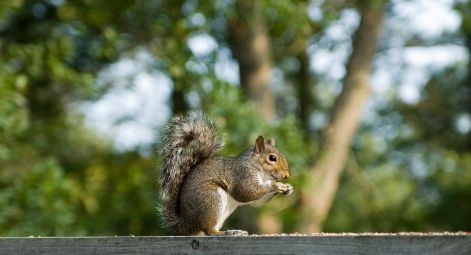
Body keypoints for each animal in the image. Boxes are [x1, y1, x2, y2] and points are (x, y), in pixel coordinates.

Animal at [159, 112, 292, 237]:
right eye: (272, 158)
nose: (287, 176)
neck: (257, 169)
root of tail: (185, 226)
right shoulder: (241, 174)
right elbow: (246, 192)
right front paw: (275, 185)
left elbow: (256, 201)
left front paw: (288, 188)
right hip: (211, 198)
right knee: (208, 230)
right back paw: (226, 232)